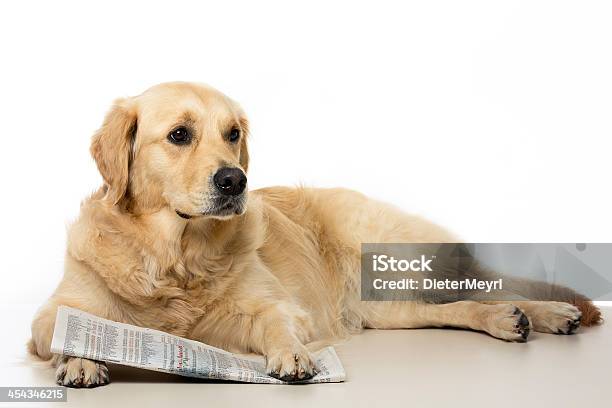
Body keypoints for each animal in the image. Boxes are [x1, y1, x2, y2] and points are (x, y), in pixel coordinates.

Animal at [29, 82, 604, 386]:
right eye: (178, 135)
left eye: (232, 134)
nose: (235, 180)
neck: (177, 258)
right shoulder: (54, 311)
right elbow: (65, 326)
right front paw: (80, 355)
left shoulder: (276, 306)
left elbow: (277, 326)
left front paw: (292, 357)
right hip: (383, 307)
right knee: (461, 307)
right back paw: (515, 319)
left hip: (390, 265)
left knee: (483, 287)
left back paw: (547, 313)